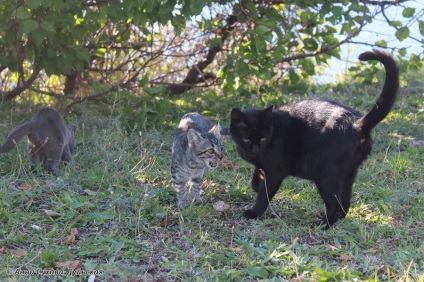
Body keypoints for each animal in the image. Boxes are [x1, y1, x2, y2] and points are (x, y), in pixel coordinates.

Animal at [230, 49, 400, 228]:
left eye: (262, 139)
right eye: (247, 140)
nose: (255, 149)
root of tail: (358, 123)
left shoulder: (275, 171)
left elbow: (265, 195)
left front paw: (254, 213)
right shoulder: (262, 165)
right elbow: (257, 175)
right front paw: (256, 185)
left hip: (324, 175)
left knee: (334, 205)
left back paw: (322, 224)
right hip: (348, 174)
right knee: (344, 205)